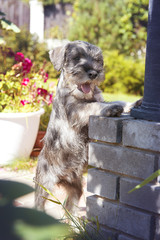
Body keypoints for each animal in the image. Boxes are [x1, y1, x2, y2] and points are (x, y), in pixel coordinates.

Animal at [35, 40, 134, 214]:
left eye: (97, 60)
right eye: (76, 58)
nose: (93, 73)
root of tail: (62, 178)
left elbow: (117, 101)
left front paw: (133, 104)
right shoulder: (76, 110)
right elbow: (94, 106)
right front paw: (111, 109)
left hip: (76, 187)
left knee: (70, 207)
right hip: (44, 187)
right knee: (40, 203)